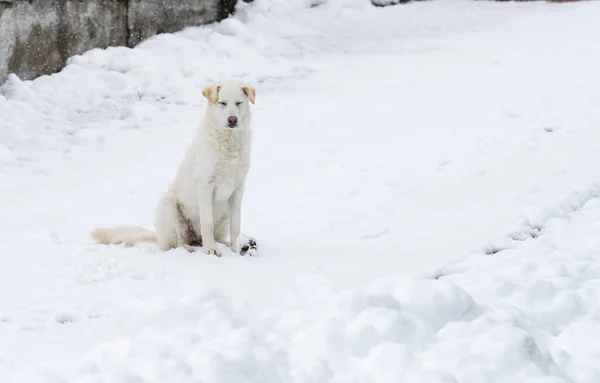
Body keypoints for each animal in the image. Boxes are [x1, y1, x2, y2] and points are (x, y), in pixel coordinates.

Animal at [90, 79, 256, 256]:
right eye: (222, 103)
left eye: (239, 103)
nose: (232, 119)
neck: (229, 144)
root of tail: (157, 237)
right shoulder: (205, 185)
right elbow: (207, 222)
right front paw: (210, 249)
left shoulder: (238, 188)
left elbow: (236, 224)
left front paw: (235, 248)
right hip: (168, 205)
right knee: (177, 243)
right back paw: (190, 247)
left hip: (223, 213)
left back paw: (226, 244)